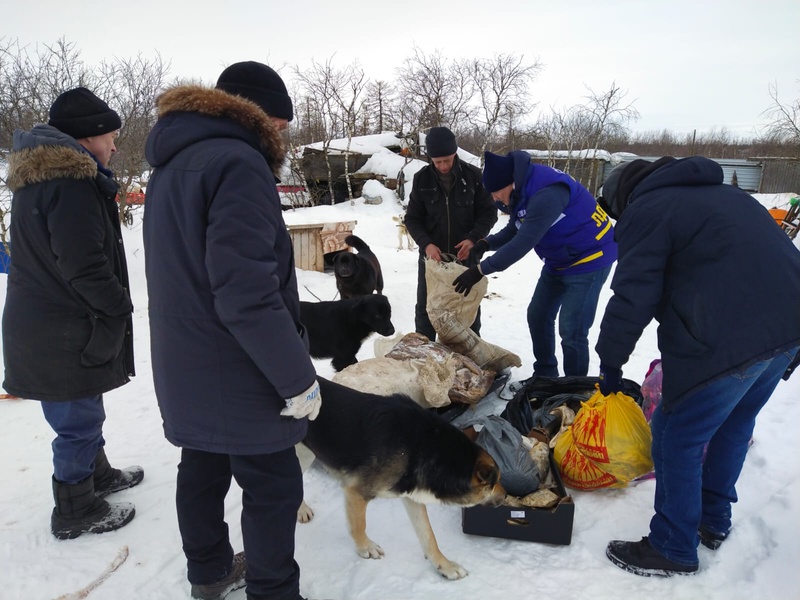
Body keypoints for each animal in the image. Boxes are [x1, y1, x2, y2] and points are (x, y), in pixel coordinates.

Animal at [296, 378, 510, 580]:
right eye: (493, 483)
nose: (506, 495)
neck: (427, 447)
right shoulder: (356, 492)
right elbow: (359, 526)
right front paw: (365, 547)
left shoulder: (411, 495)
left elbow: (429, 536)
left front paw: (444, 565)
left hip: (306, 454)